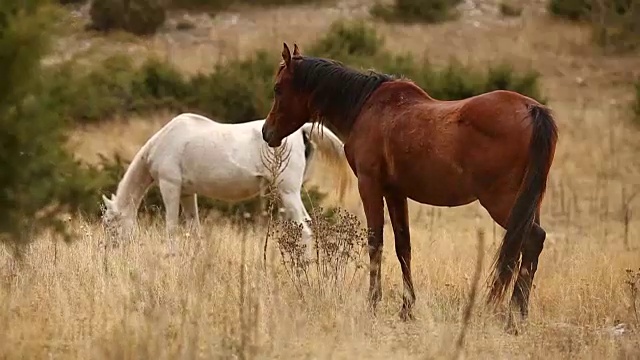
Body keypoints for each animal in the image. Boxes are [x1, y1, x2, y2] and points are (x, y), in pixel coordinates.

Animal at [101, 112, 350, 250]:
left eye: (109, 223)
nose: (109, 253)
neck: (164, 141)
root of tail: (301, 131)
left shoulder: (169, 186)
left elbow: (171, 229)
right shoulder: (187, 193)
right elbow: (195, 229)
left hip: (288, 192)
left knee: (305, 229)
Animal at [262, 43, 556, 330]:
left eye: (277, 88)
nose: (267, 132)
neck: (366, 107)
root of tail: (532, 110)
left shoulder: (370, 186)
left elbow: (376, 243)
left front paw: (373, 303)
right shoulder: (396, 193)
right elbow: (404, 246)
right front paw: (406, 309)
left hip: (501, 202)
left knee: (532, 240)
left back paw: (514, 319)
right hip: (528, 203)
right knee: (528, 247)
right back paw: (519, 316)